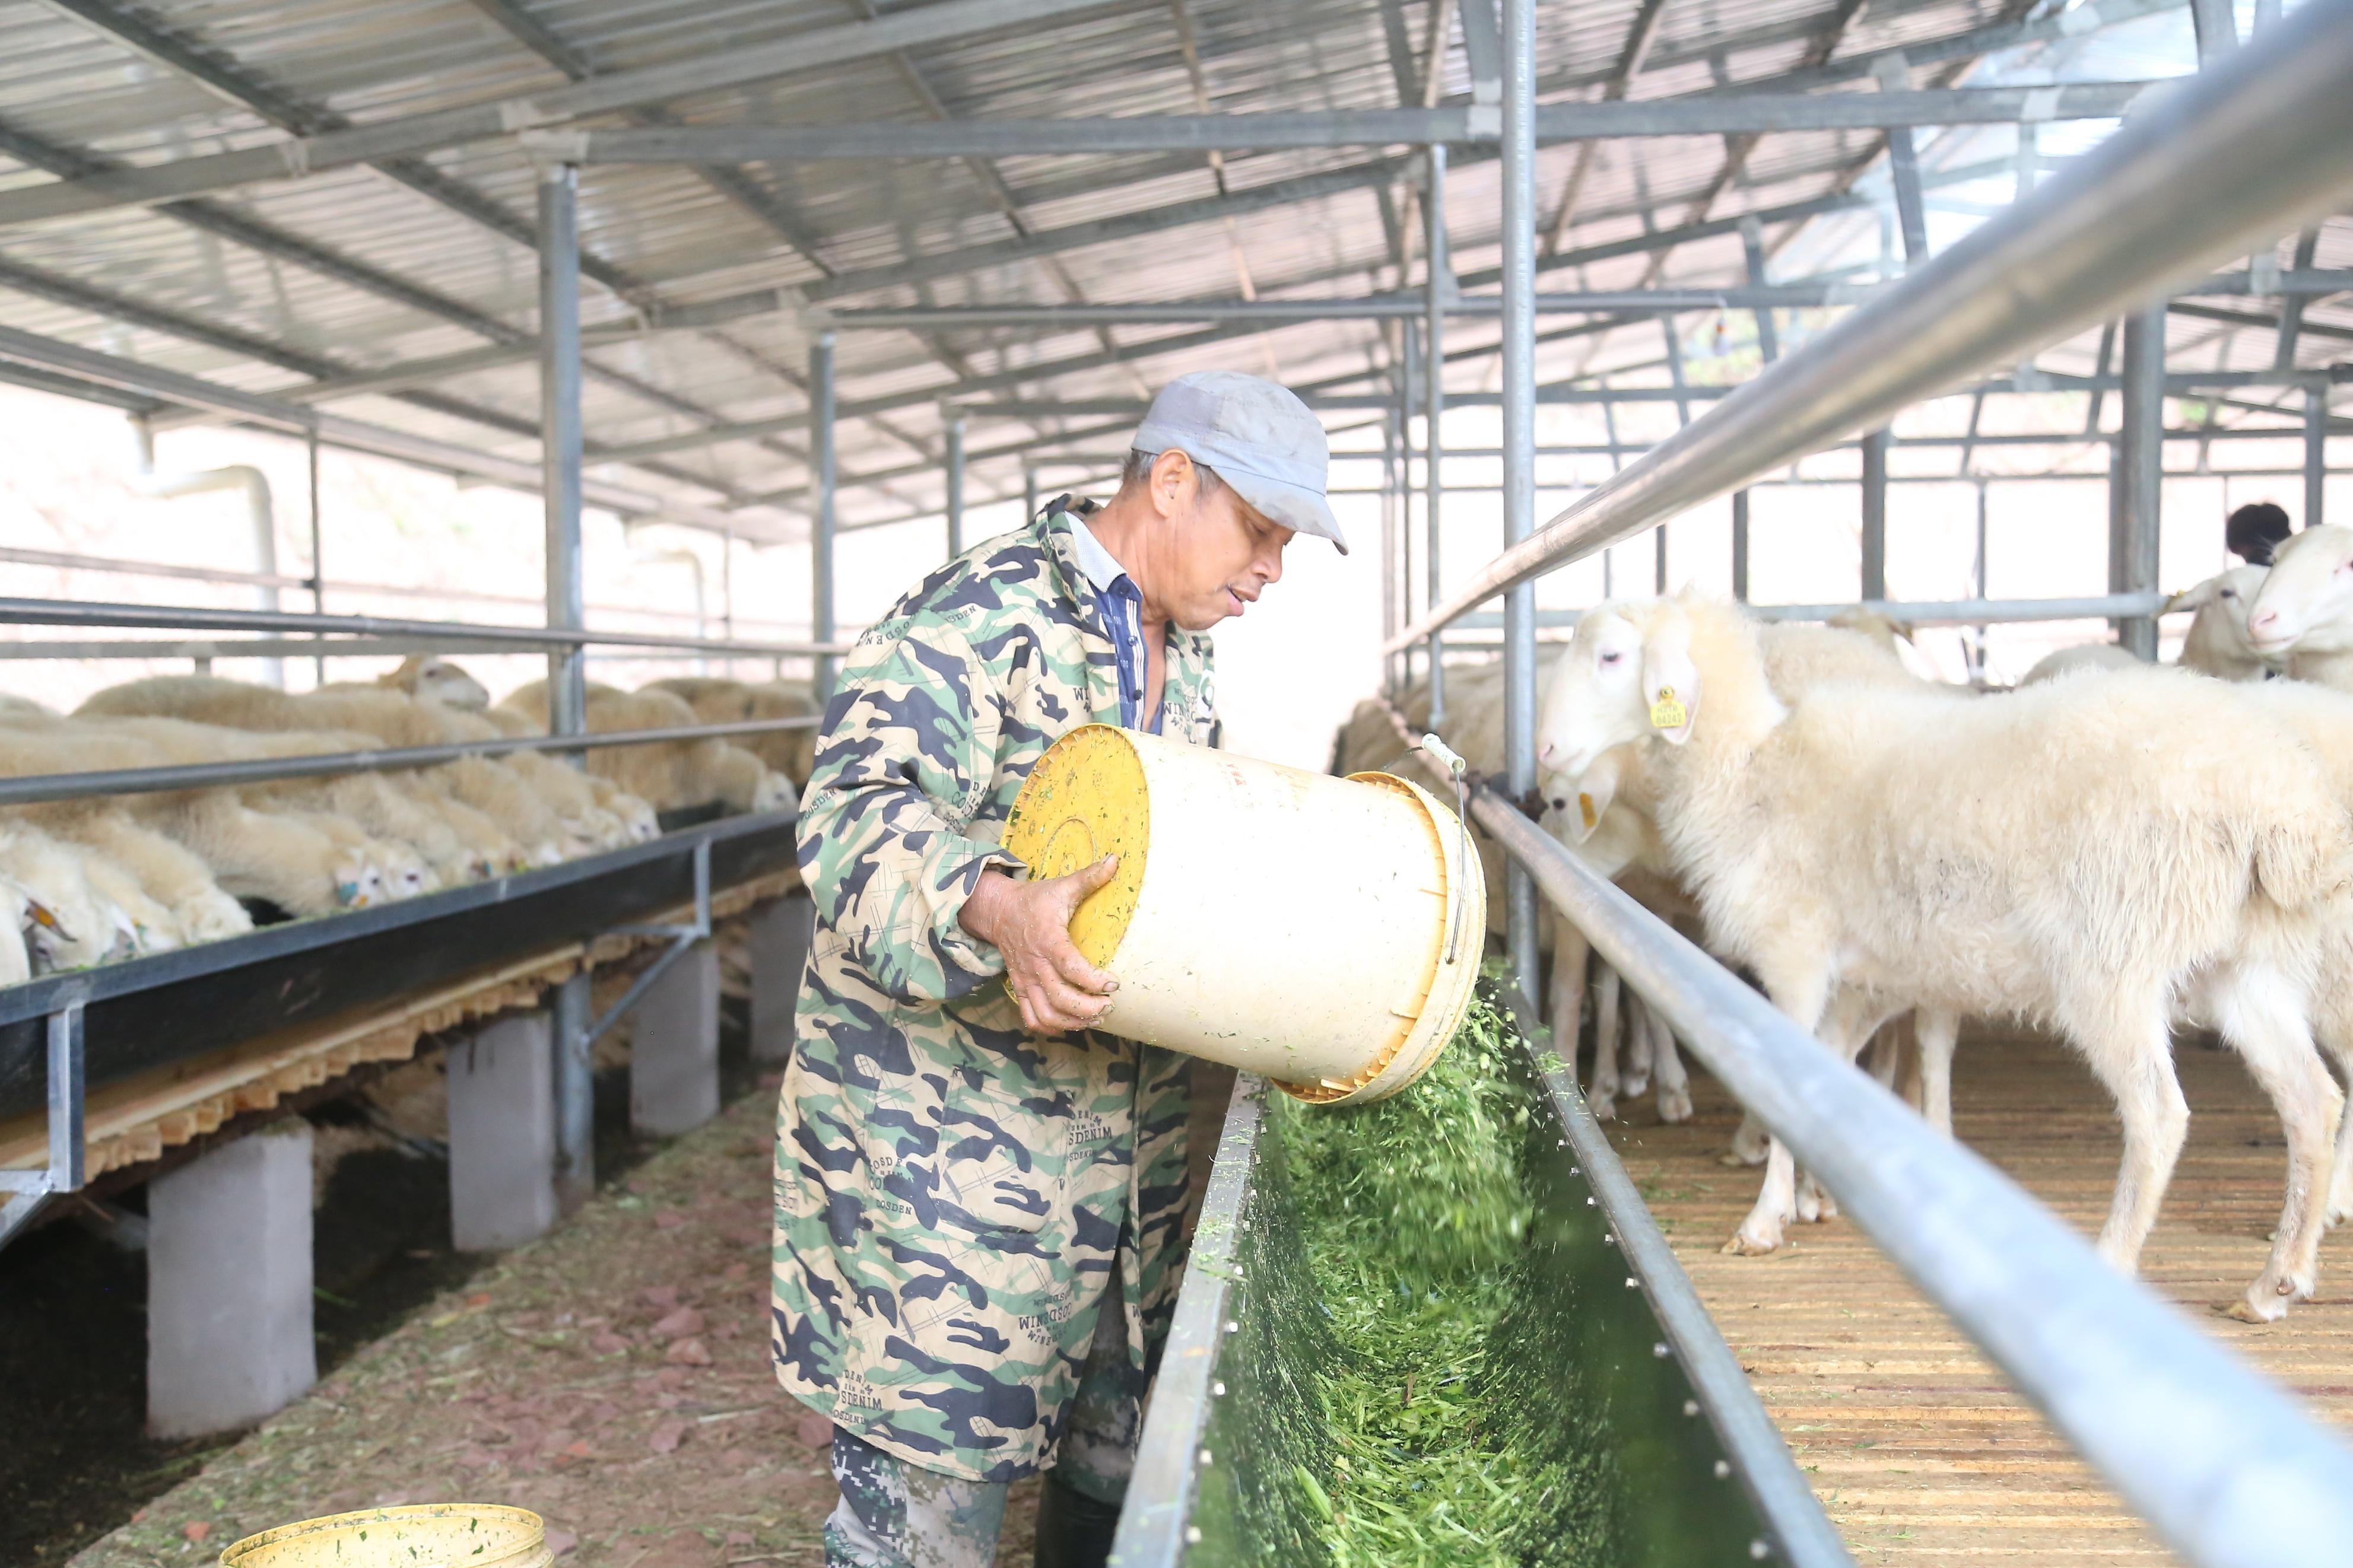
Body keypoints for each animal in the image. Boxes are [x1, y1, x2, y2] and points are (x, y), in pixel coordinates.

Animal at [1544, 602, 2353, 1325]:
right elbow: (1829, 1074)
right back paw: (2275, 1282)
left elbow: (1783, 1083)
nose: (1546, 759)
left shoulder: (1795, 952)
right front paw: (1814, 1196)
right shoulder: (1862, 979)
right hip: (2244, 967)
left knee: (2157, 1117)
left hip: (2112, 959)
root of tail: (2285, 807)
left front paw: (1764, 1219)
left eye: (1610, 656)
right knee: (2310, 1102)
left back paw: (2119, 1264)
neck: (1747, 774)